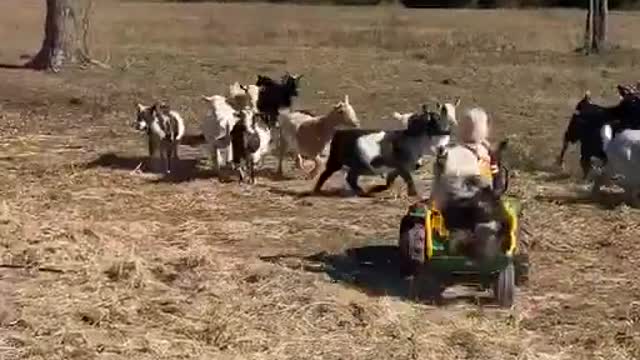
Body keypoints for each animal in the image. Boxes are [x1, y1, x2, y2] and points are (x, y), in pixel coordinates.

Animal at [312, 107, 452, 197]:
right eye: (434, 122)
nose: (447, 131)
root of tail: (339, 133)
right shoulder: (401, 167)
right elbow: (409, 180)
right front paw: (414, 194)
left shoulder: (396, 169)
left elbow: (389, 182)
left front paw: (376, 189)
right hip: (339, 162)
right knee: (333, 175)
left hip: (353, 166)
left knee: (344, 177)